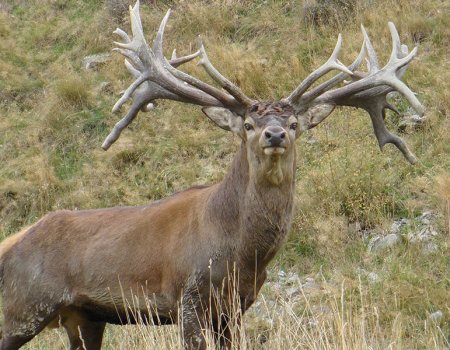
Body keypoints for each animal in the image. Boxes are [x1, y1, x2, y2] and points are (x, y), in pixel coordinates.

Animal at [0, 1, 424, 348]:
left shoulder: (236, 307)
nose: (274, 134)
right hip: (24, 307)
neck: (240, 253)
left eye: (293, 123)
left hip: (83, 318)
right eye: (249, 124)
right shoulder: (188, 297)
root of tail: (10, 243)